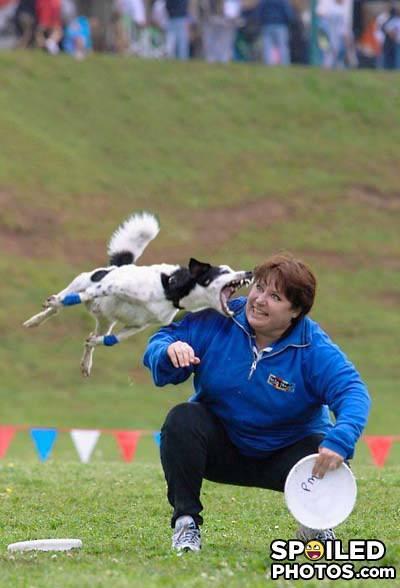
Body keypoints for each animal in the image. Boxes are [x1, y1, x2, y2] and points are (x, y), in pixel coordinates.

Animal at [23, 211, 252, 376]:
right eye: (224, 271)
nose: (250, 272)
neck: (171, 289)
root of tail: (118, 266)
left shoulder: (139, 325)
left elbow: (112, 340)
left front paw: (95, 343)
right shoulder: (112, 286)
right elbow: (83, 296)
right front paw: (56, 303)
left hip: (106, 321)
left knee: (93, 333)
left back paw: (86, 362)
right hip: (82, 281)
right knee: (61, 304)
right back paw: (38, 317)